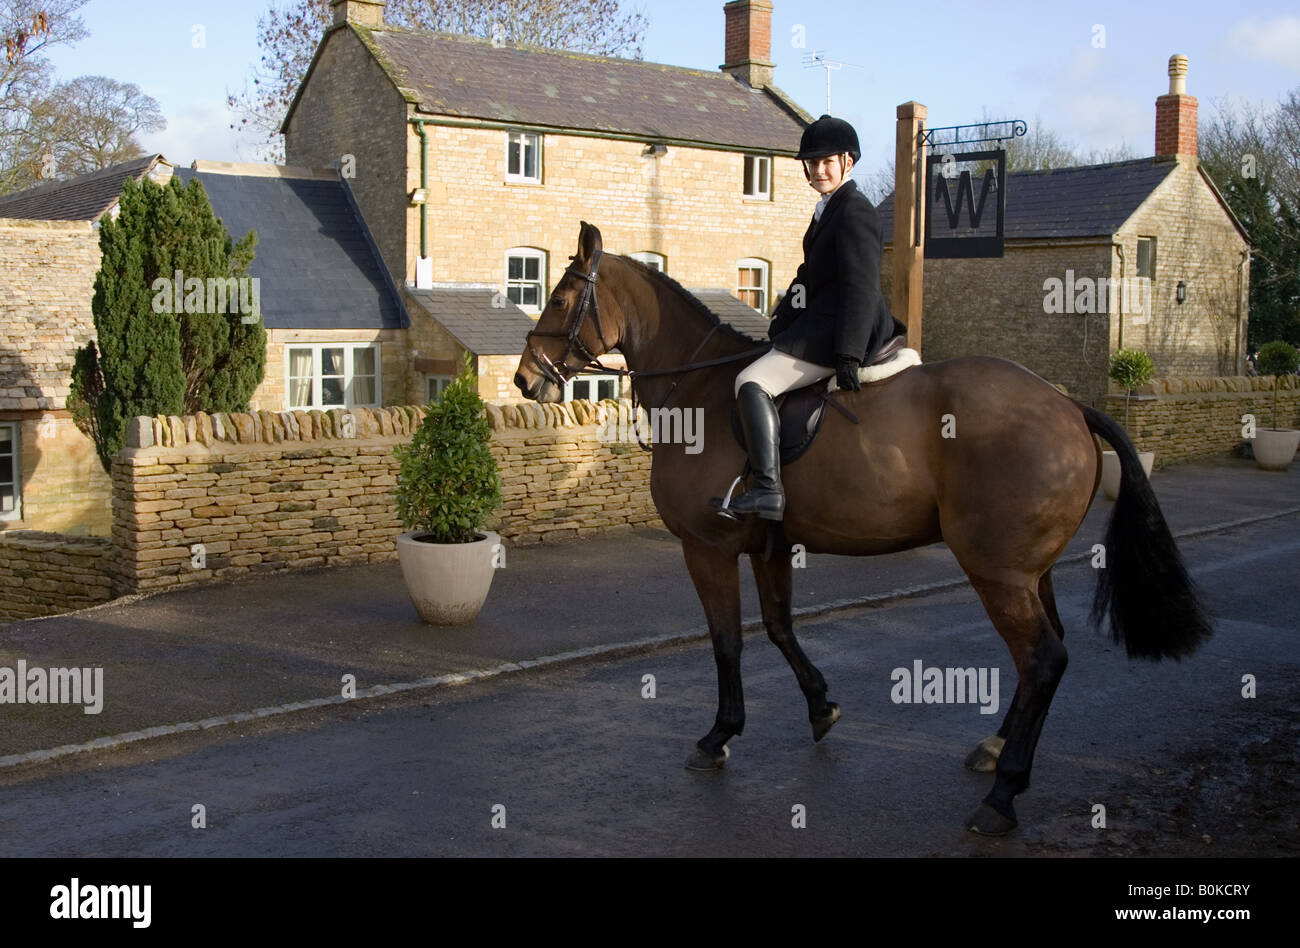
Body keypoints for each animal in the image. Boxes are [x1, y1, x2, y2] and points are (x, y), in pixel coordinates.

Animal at [512, 223, 1211, 837]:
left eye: (561, 296)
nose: (525, 378)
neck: (700, 386)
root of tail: (1068, 404)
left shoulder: (707, 548)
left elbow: (727, 642)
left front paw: (719, 736)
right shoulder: (769, 546)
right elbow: (779, 628)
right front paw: (822, 707)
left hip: (998, 570)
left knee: (1042, 658)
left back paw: (1002, 796)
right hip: (1027, 569)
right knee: (1046, 652)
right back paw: (994, 749)